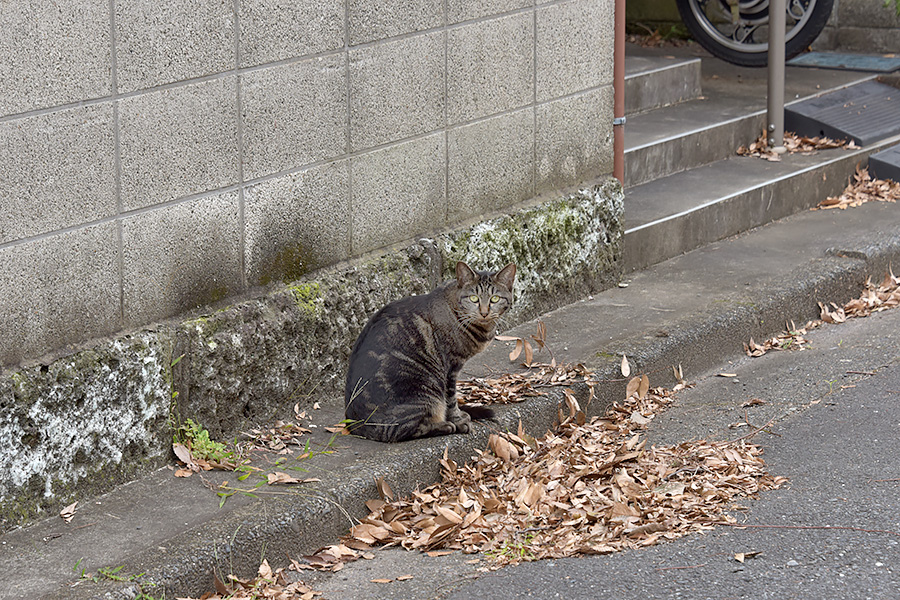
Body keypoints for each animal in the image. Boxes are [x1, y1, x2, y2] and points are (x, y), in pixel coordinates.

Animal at [342, 260, 516, 442]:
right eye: (474, 298)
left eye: (494, 299)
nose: (484, 312)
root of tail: (355, 425)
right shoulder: (450, 368)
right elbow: (451, 400)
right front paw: (459, 420)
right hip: (424, 390)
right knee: (401, 430)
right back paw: (444, 425)